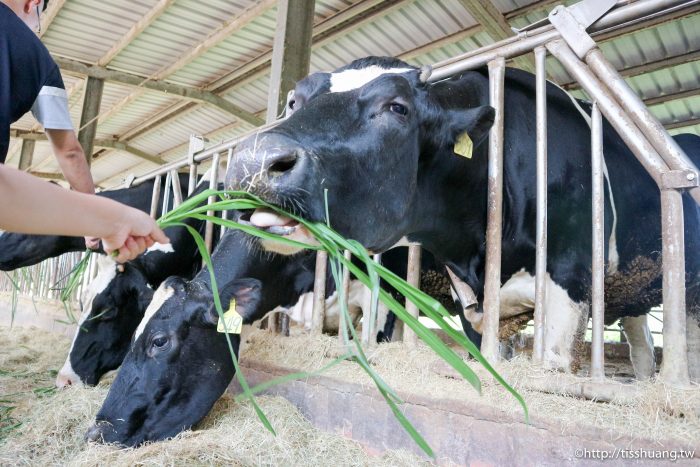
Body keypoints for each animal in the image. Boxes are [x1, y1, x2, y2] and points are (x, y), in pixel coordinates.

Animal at [228, 56, 700, 376]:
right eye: (293, 100)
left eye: (397, 107)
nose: (253, 160)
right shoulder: (467, 296)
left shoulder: (570, 277)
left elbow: (552, 363)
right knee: (641, 341)